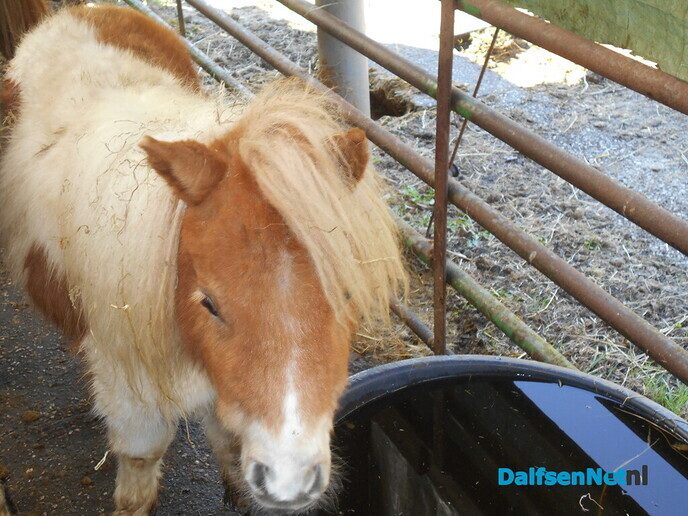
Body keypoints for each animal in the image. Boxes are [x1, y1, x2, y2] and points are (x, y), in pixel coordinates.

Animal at [0, 2, 407, 514]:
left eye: (347, 295)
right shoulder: (127, 378)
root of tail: (82, 12)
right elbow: (142, 455)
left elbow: (229, 439)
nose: (290, 480)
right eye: (208, 303)